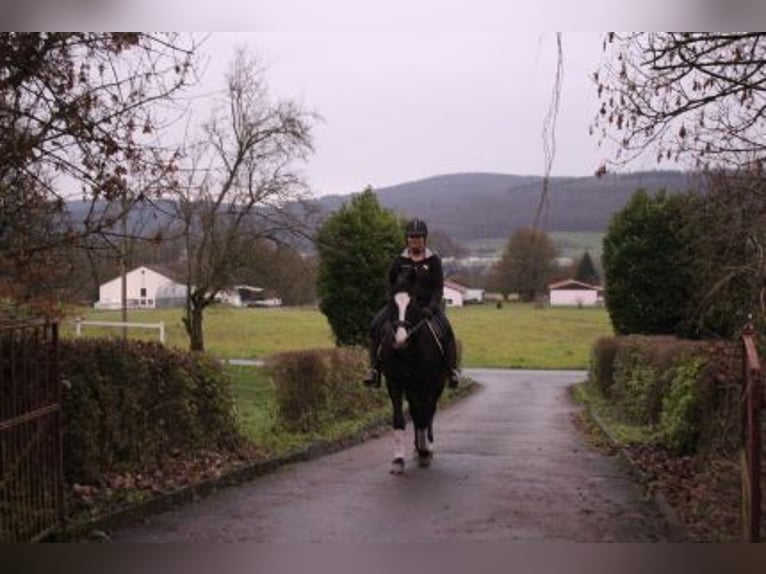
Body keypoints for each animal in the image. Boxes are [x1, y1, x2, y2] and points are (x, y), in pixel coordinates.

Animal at [380, 270, 450, 476]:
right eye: (390, 302)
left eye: (413, 303)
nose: (400, 341)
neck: (408, 352)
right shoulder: (395, 383)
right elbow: (399, 419)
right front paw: (398, 460)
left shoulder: (427, 384)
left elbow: (424, 415)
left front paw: (425, 452)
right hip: (412, 390)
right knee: (416, 412)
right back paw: (416, 448)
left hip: (435, 386)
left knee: (428, 413)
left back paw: (427, 448)